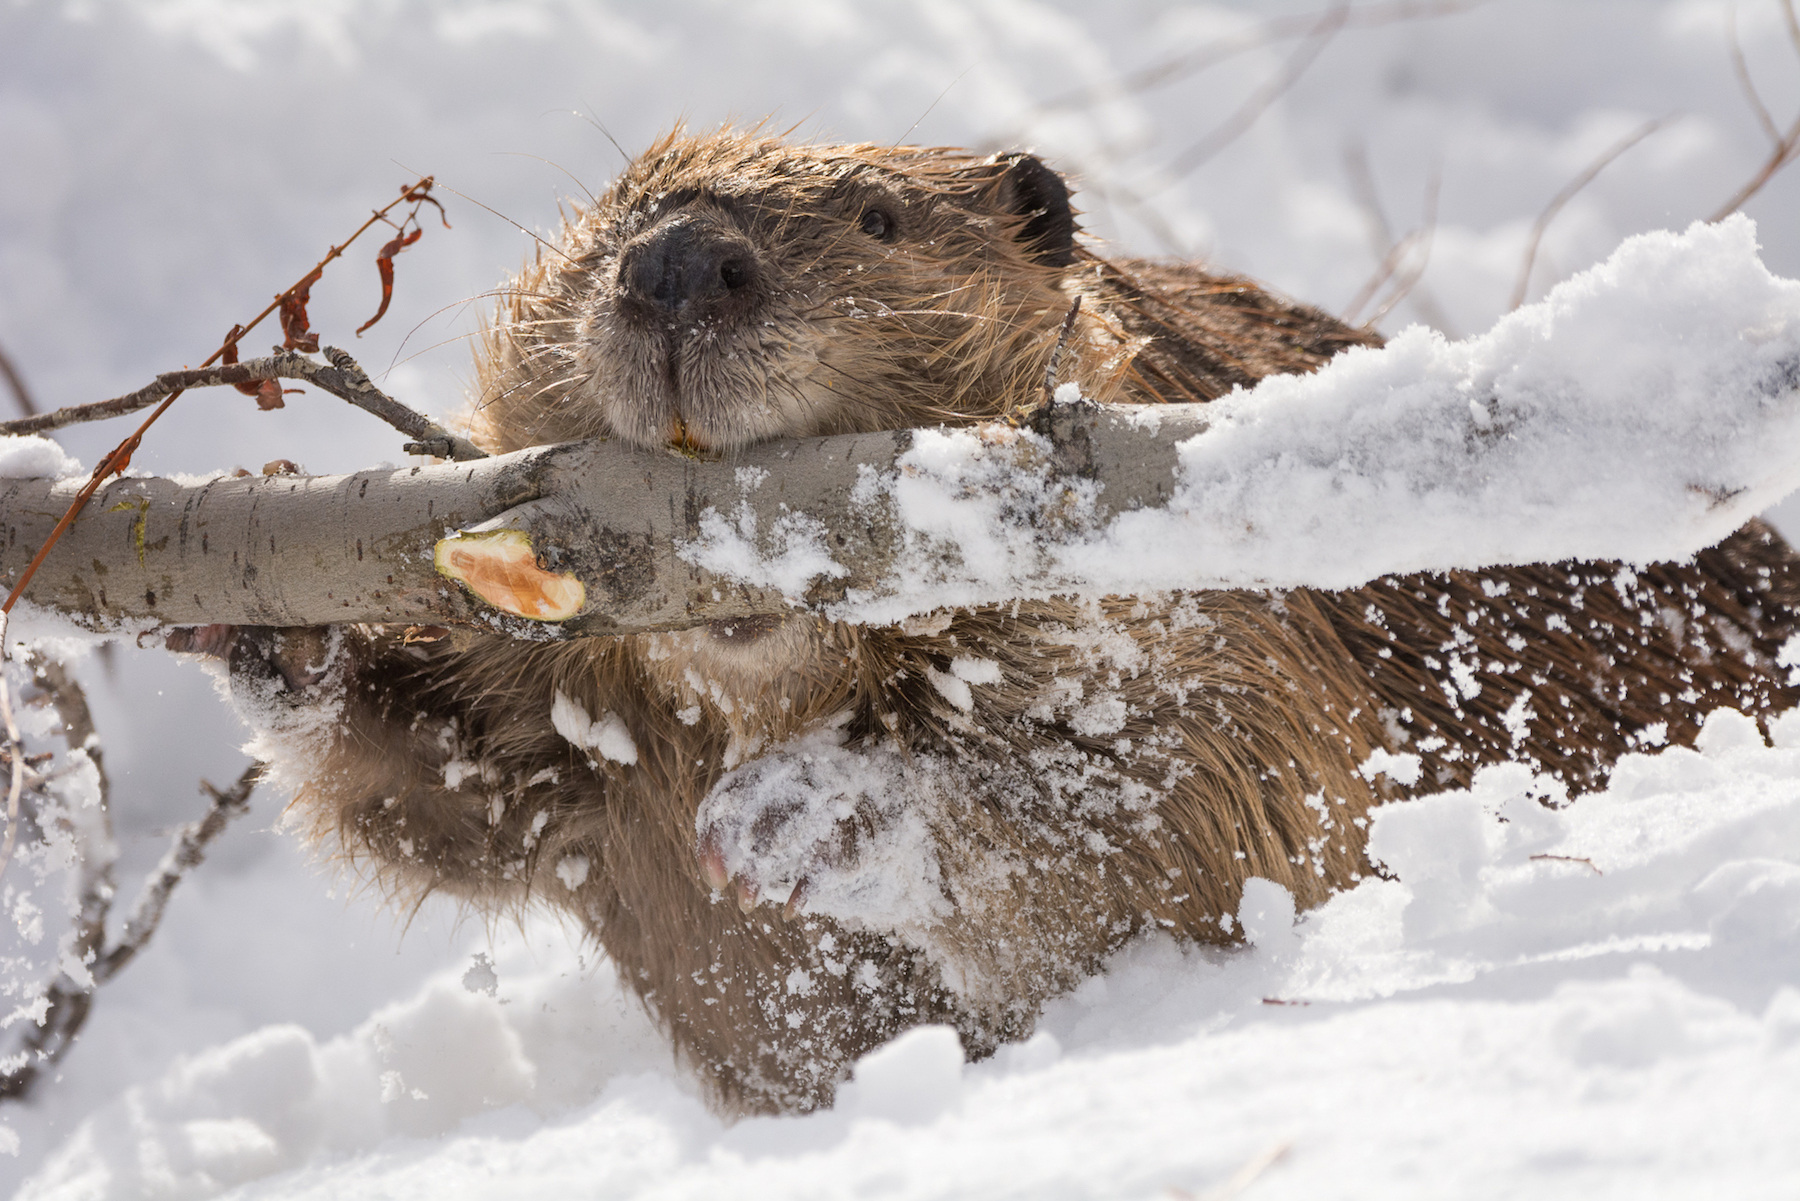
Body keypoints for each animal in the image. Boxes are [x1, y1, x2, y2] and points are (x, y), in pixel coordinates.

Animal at [197, 126, 1800, 1116]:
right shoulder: (581, 744)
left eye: (880, 215)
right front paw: (271, 619)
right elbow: (451, 792)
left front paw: (801, 814)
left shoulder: (1236, 613)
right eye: (603, 231)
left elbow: (1218, 796)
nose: (677, 268)